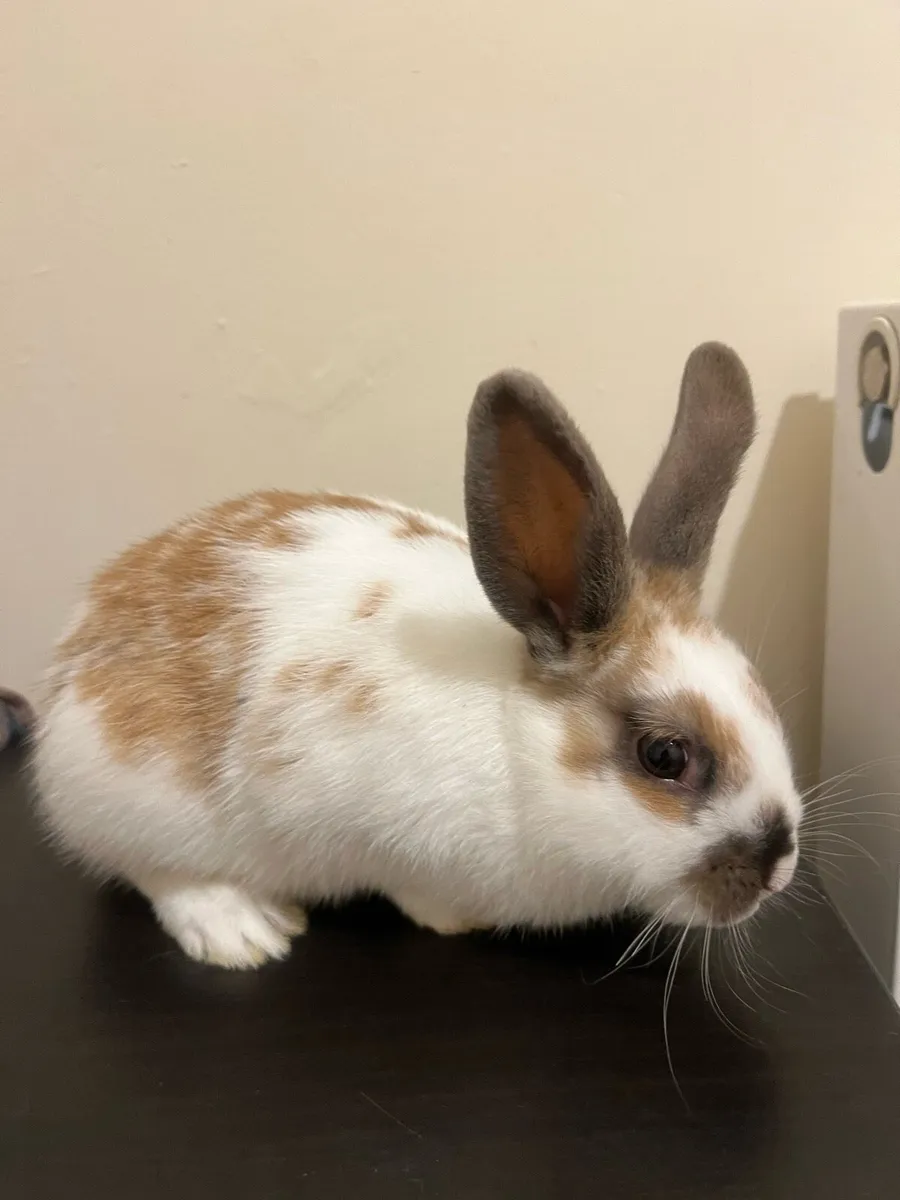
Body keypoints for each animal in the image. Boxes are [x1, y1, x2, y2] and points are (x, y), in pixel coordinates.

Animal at [32, 342, 801, 969]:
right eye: (664, 756)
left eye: (763, 695)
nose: (777, 867)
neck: (515, 749)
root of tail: (72, 652)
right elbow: (410, 889)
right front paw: (455, 919)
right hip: (135, 799)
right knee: (157, 870)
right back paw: (247, 933)